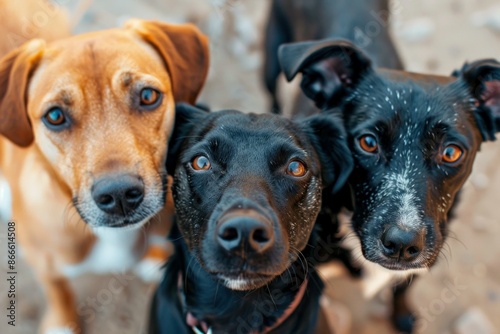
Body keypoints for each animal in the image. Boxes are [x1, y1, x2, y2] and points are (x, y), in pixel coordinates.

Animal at [0, 6, 209, 332]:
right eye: (55, 116)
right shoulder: (43, 261)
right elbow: (59, 291)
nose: (119, 195)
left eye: (148, 96)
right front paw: (62, 323)